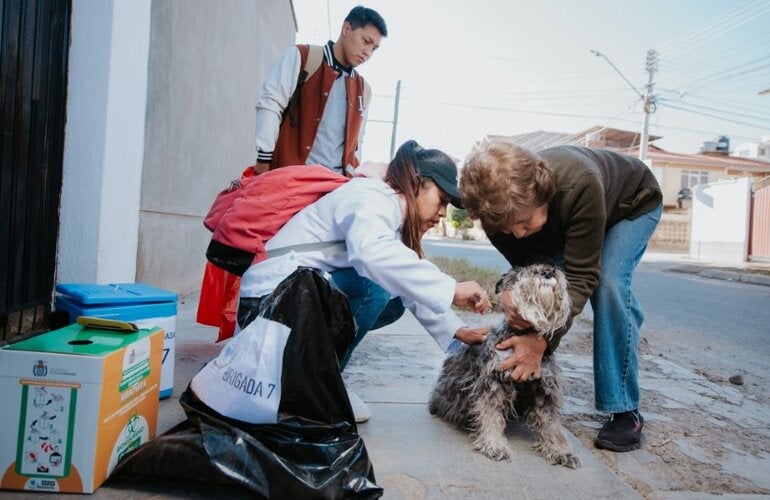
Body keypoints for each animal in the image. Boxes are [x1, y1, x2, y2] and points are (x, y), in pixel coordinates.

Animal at [428, 266, 580, 468]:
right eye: (526, 271)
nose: (548, 271)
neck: (522, 335)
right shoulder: (494, 384)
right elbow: (491, 416)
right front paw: (494, 445)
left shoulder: (545, 389)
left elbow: (552, 425)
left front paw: (561, 451)